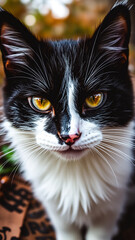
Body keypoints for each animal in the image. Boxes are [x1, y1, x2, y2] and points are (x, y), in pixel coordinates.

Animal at [0, 0, 134, 240]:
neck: (74, 173)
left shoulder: (113, 203)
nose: (69, 136)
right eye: (40, 102)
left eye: (94, 98)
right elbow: (65, 228)